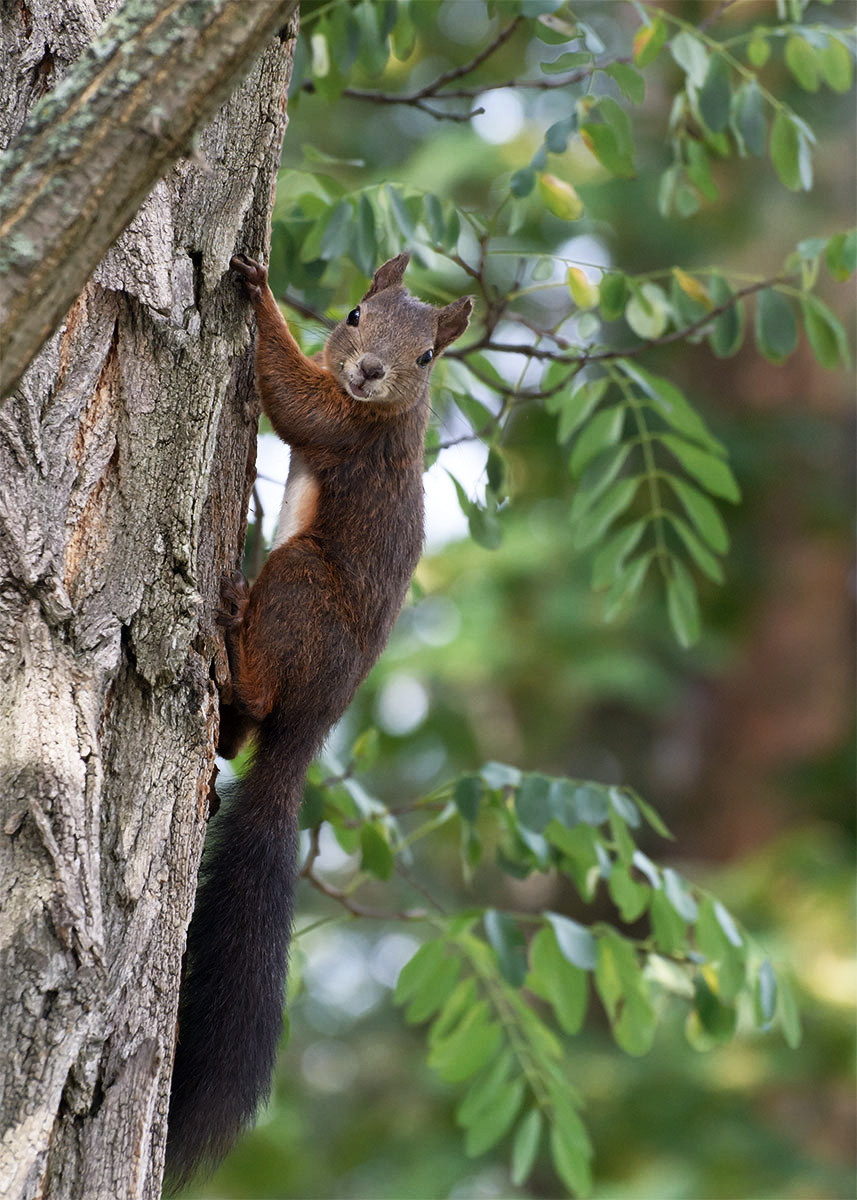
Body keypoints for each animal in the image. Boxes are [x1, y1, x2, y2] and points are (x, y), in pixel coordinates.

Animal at [164, 251, 472, 1187]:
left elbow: (294, 399)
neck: (392, 413)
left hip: (299, 583)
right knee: (241, 730)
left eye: (426, 358)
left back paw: (230, 632)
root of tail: (314, 729)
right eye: (354, 315)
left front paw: (257, 288)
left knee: (265, 696)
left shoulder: (344, 426)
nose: (368, 373)